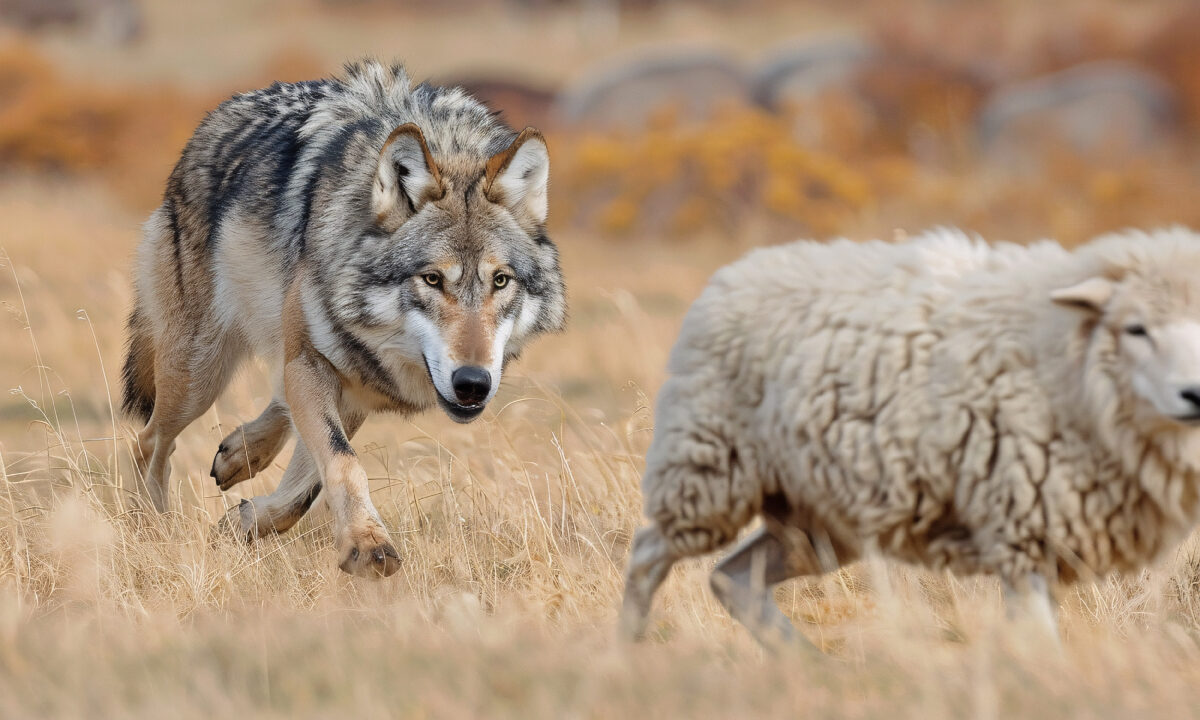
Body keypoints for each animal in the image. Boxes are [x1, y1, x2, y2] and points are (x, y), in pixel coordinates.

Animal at [121, 60, 566, 577]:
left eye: (501, 281)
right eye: (432, 279)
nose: (473, 383)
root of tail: (213, 120)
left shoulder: (353, 390)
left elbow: (307, 488)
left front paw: (242, 523)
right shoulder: (315, 364)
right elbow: (341, 463)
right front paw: (367, 545)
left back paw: (240, 454)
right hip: (199, 374)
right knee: (150, 441)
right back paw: (150, 528)